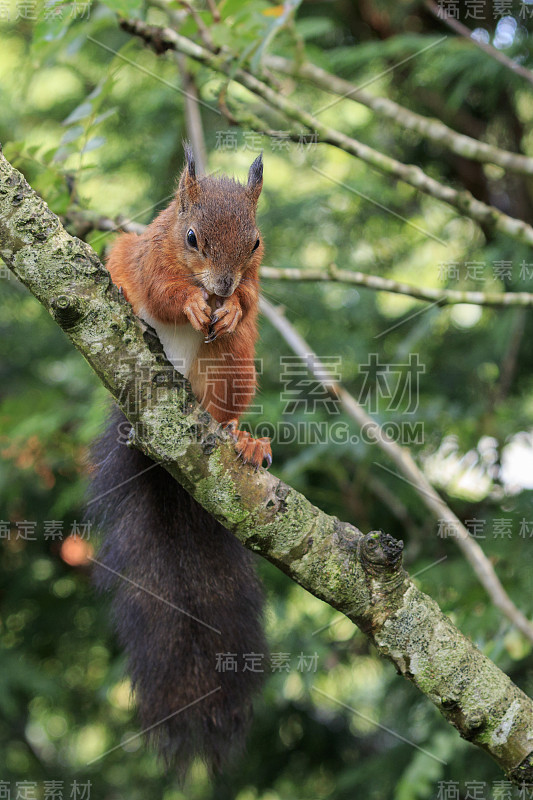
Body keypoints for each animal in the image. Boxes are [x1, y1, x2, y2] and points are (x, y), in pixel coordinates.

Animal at [90, 148, 270, 776]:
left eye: (256, 242)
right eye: (192, 238)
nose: (222, 284)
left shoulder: (254, 283)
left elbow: (251, 302)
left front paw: (233, 306)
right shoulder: (148, 254)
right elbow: (159, 288)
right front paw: (189, 302)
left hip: (234, 367)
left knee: (225, 400)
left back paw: (241, 439)